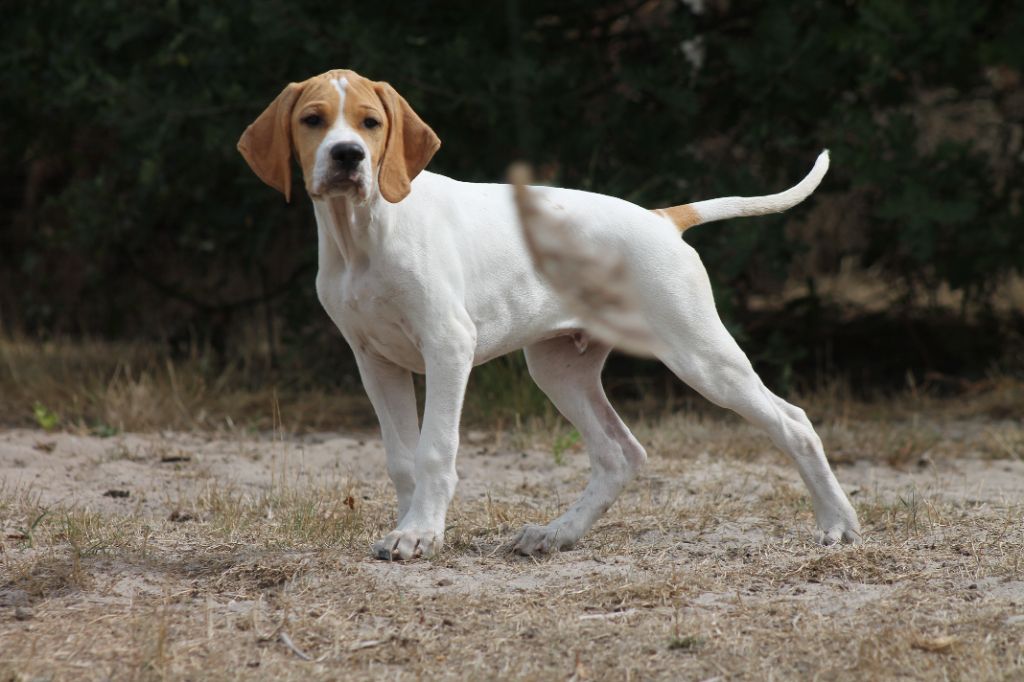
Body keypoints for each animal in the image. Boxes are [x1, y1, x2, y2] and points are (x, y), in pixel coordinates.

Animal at [237, 67, 856, 557]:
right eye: (313, 120)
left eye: (370, 123)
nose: (348, 156)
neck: (365, 231)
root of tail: (659, 218)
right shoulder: (374, 361)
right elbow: (402, 458)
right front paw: (410, 527)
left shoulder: (447, 346)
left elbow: (435, 449)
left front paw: (421, 534)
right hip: (559, 368)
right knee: (618, 454)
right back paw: (557, 534)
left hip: (700, 355)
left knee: (793, 423)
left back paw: (837, 524)